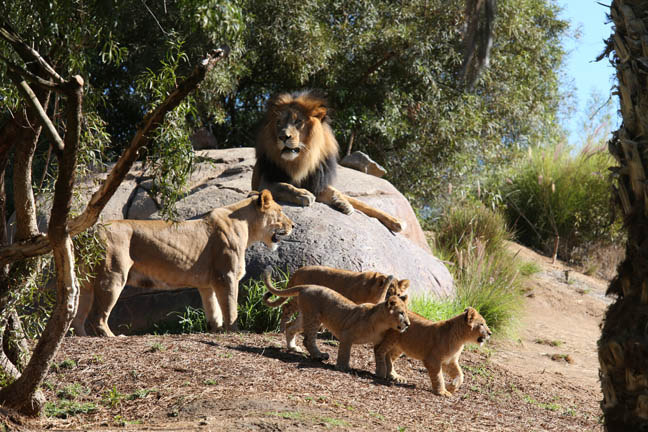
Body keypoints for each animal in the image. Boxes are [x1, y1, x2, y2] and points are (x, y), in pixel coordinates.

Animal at [72, 190, 293, 337]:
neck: (246, 226)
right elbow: (230, 307)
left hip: (86, 282)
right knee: (97, 317)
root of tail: (89, 232)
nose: (293, 225)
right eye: (280, 211)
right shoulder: (226, 276)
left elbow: (214, 310)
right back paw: (113, 337)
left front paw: (216, 331)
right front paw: (234, 331)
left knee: (77, 316)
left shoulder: (207, 284)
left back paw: (80, 337)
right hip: (113, 276)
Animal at [251, 90, 405, 233]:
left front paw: (344, 204)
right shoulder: (265, 183)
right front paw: (303, 194)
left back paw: (396, 222)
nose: (283, 137)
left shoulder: (317, 183)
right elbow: (284, 185)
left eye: (298, 121)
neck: (300, 162)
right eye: (278, 123)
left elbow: (334, 191)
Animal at [262, 268, 410, 370]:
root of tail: (306, 285)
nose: (408, 324)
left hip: (306, 315)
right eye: (401, 313)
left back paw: (293, 347)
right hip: (313, 317)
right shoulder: (348, 329)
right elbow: (345, 350)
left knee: (291, 327)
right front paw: (343, 366)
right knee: (306, 337)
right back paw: (319, 355)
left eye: (398, 294)